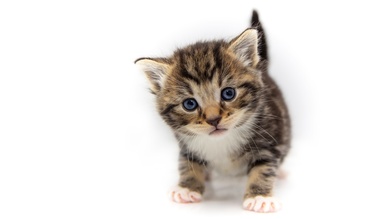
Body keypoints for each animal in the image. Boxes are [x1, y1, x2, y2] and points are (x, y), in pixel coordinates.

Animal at [134, 10, 290, 212]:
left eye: (228, 93)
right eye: (189, 104)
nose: (214, 119)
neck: (222, 141)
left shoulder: (268, 137)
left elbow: (264, 167)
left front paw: (260, 197)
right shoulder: (187, 144)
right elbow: (188, 163)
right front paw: (186, 187)